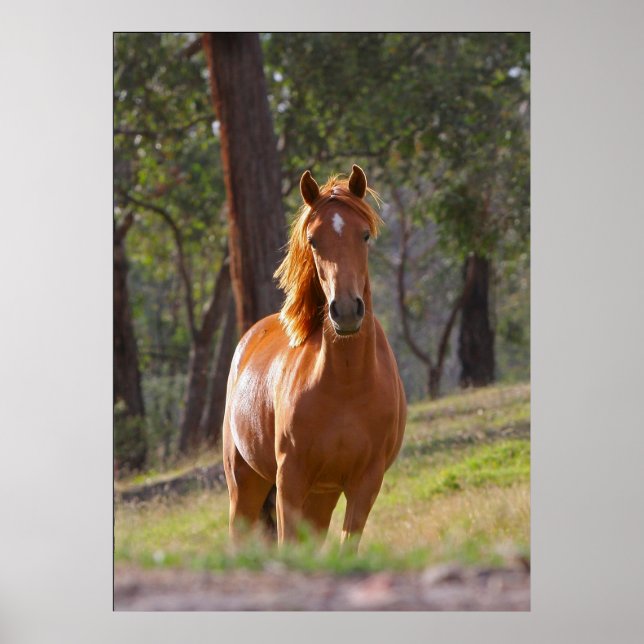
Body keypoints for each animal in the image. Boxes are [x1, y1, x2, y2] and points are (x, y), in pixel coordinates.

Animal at [222, 164, 406, 550]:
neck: (347, 384)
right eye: (313, 240)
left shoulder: (365, 483)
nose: (346, 310)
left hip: (322, 496)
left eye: (364, 236)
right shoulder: (290, 479)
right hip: (245, 485)